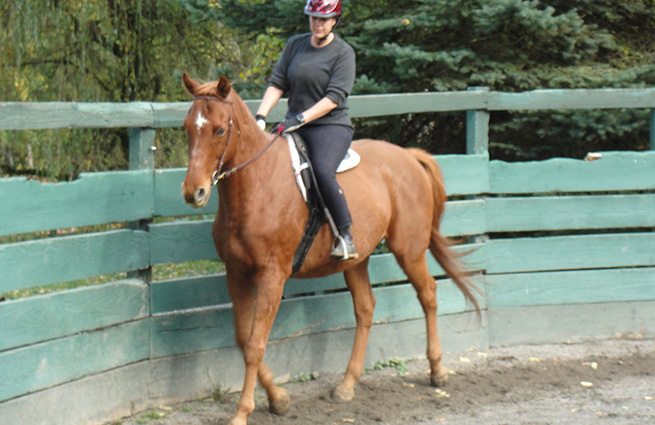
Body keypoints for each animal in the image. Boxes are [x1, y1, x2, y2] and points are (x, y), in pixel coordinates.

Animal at [182, 73, 480, 424]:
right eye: (187, 128)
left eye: (219, 130)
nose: (193, 192)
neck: (257, 185)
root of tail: (408, 155)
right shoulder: (237, 273)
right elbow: (244, 340)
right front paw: (279, 398)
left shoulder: (272, 276)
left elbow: (256, 344)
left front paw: (243, 412)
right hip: (356, 260)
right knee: (365, 308)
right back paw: (347, 384)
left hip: (408, 249)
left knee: (428, 295)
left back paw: (437, 370)